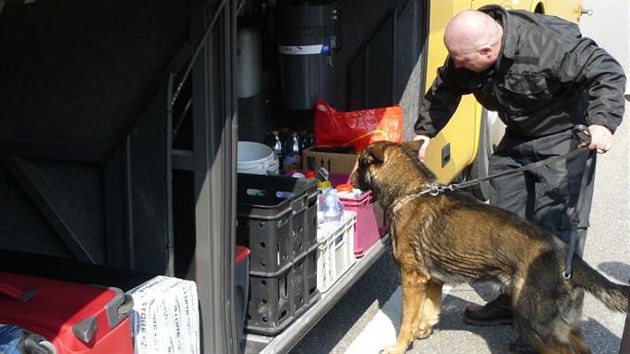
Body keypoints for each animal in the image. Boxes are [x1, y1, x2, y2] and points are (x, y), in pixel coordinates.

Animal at [354, 141, 628, 354]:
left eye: (359, 164)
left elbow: (405, 321)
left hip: (535, 326)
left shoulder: (411, 278)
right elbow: (430, 309)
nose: (350, 179)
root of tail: (567, 257)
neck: (411, 192)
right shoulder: (432, 280)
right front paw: (424, 329)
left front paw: (399, 346)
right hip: (565, 326)